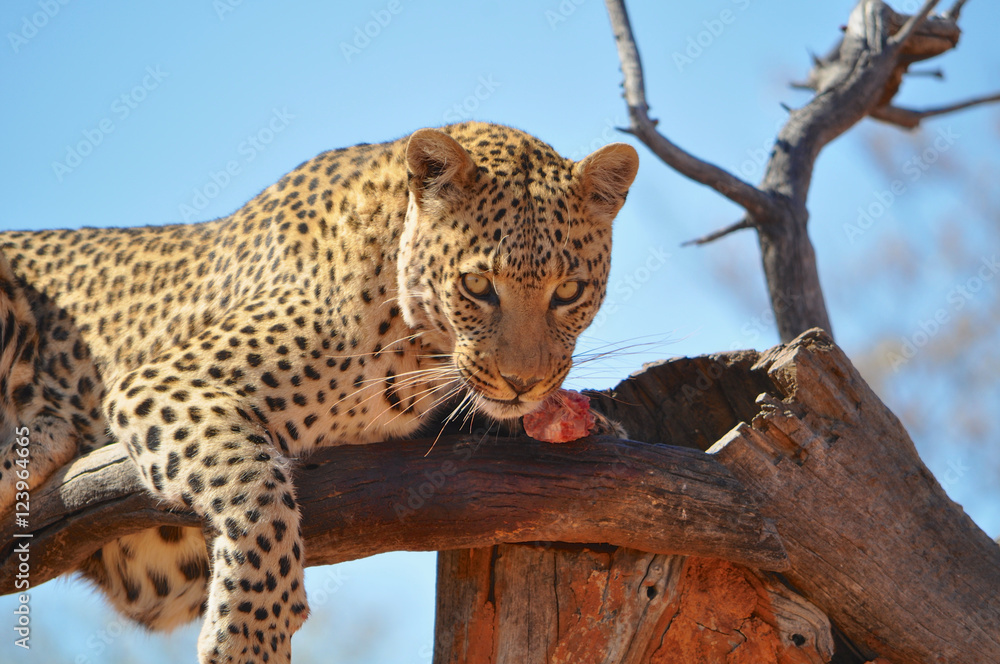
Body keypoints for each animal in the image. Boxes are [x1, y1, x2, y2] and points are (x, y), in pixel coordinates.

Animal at [0, 121, 638, 663]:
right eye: (478, 286)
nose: (523, 382)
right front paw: (249, 638)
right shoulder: (163, 381)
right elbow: (257, 490)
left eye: (569, 291)